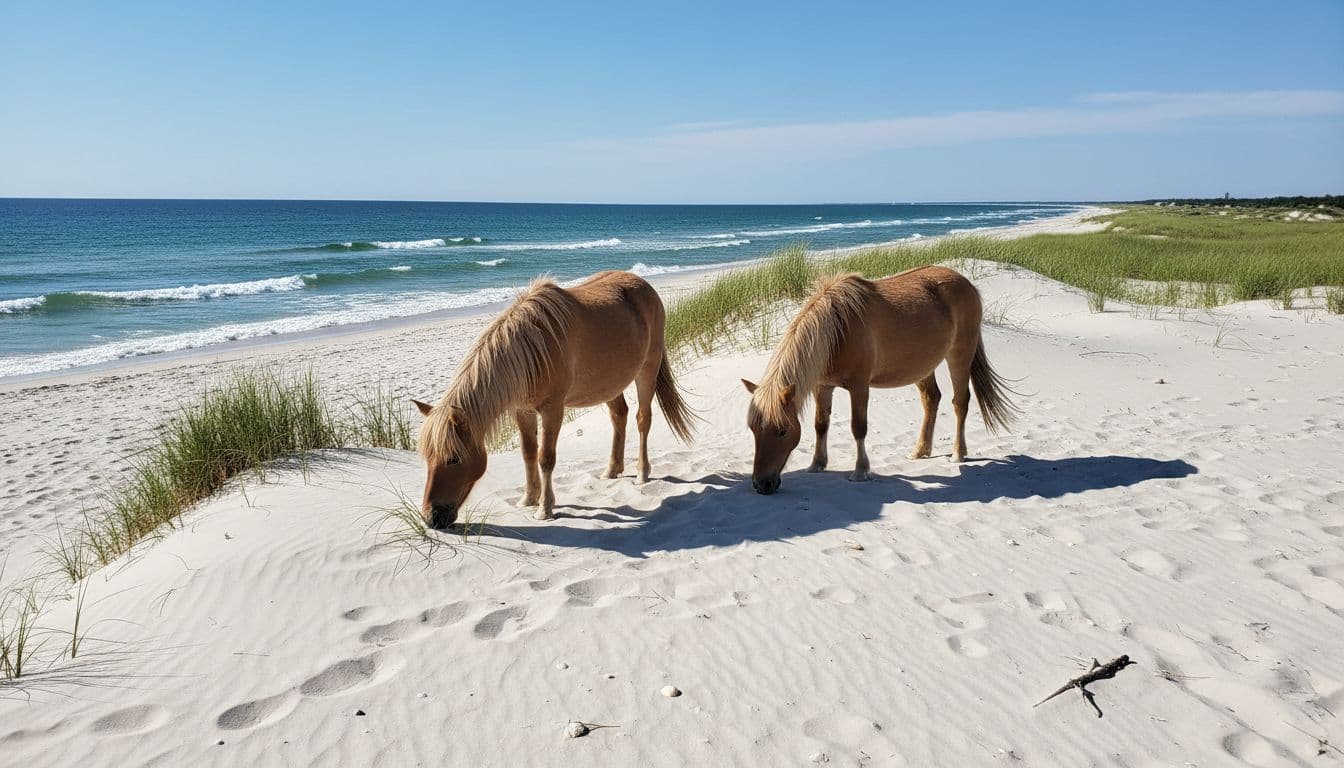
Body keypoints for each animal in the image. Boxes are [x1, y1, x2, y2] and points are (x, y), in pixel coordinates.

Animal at [413, 270, 695, 526]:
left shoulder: (553, 410)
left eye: (453, 459)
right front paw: (528, 499)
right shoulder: (522, 411)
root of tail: (644, 285)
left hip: (647, 370)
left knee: (642, 419)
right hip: (608, 384)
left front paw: (544, 509)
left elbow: (545, 458)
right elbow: (528, 453)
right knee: (619, 416)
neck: (532, 349)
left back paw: (641, 473)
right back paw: (612, 470)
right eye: (427, 458)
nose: (431, 518)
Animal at [741, 265, 1017, 494]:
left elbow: (858, 428)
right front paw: (817, 465)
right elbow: (821, 424)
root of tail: (966, 283)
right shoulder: (824, 386)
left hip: (960, 355)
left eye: (782, 430)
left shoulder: (859, 387)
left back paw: (958, 454)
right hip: (922, 367)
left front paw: (861, 471)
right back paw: (920, 451)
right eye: (753, 429)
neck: (838, 330)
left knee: (960, 402)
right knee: (932, 400)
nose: (762, 484)